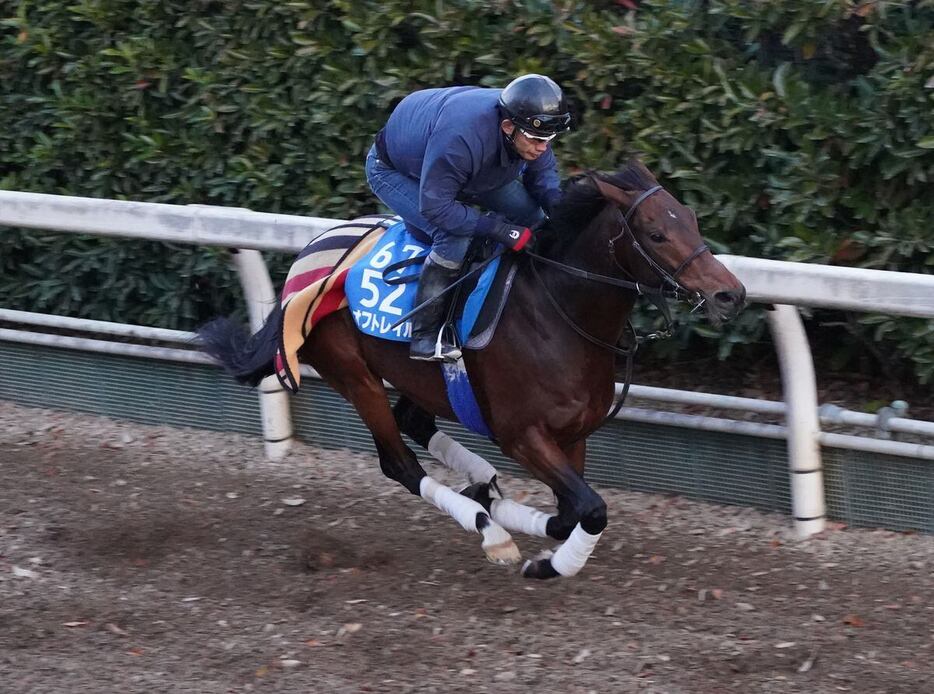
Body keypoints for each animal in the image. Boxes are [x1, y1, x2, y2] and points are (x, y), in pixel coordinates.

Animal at [201, 162, 748, 580]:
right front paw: (546, 564)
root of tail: (308, 257)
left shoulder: (574, 434)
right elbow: (590, 510)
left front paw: (516, 517)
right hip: (355, 375)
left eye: (692, 219)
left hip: (418, 378)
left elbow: (571, 512)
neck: (557, 316)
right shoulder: (522, 435)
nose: (730, 294)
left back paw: (485, 491)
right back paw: (490, 530)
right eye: (656, 233)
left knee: (415, 421)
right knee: (400, 464)